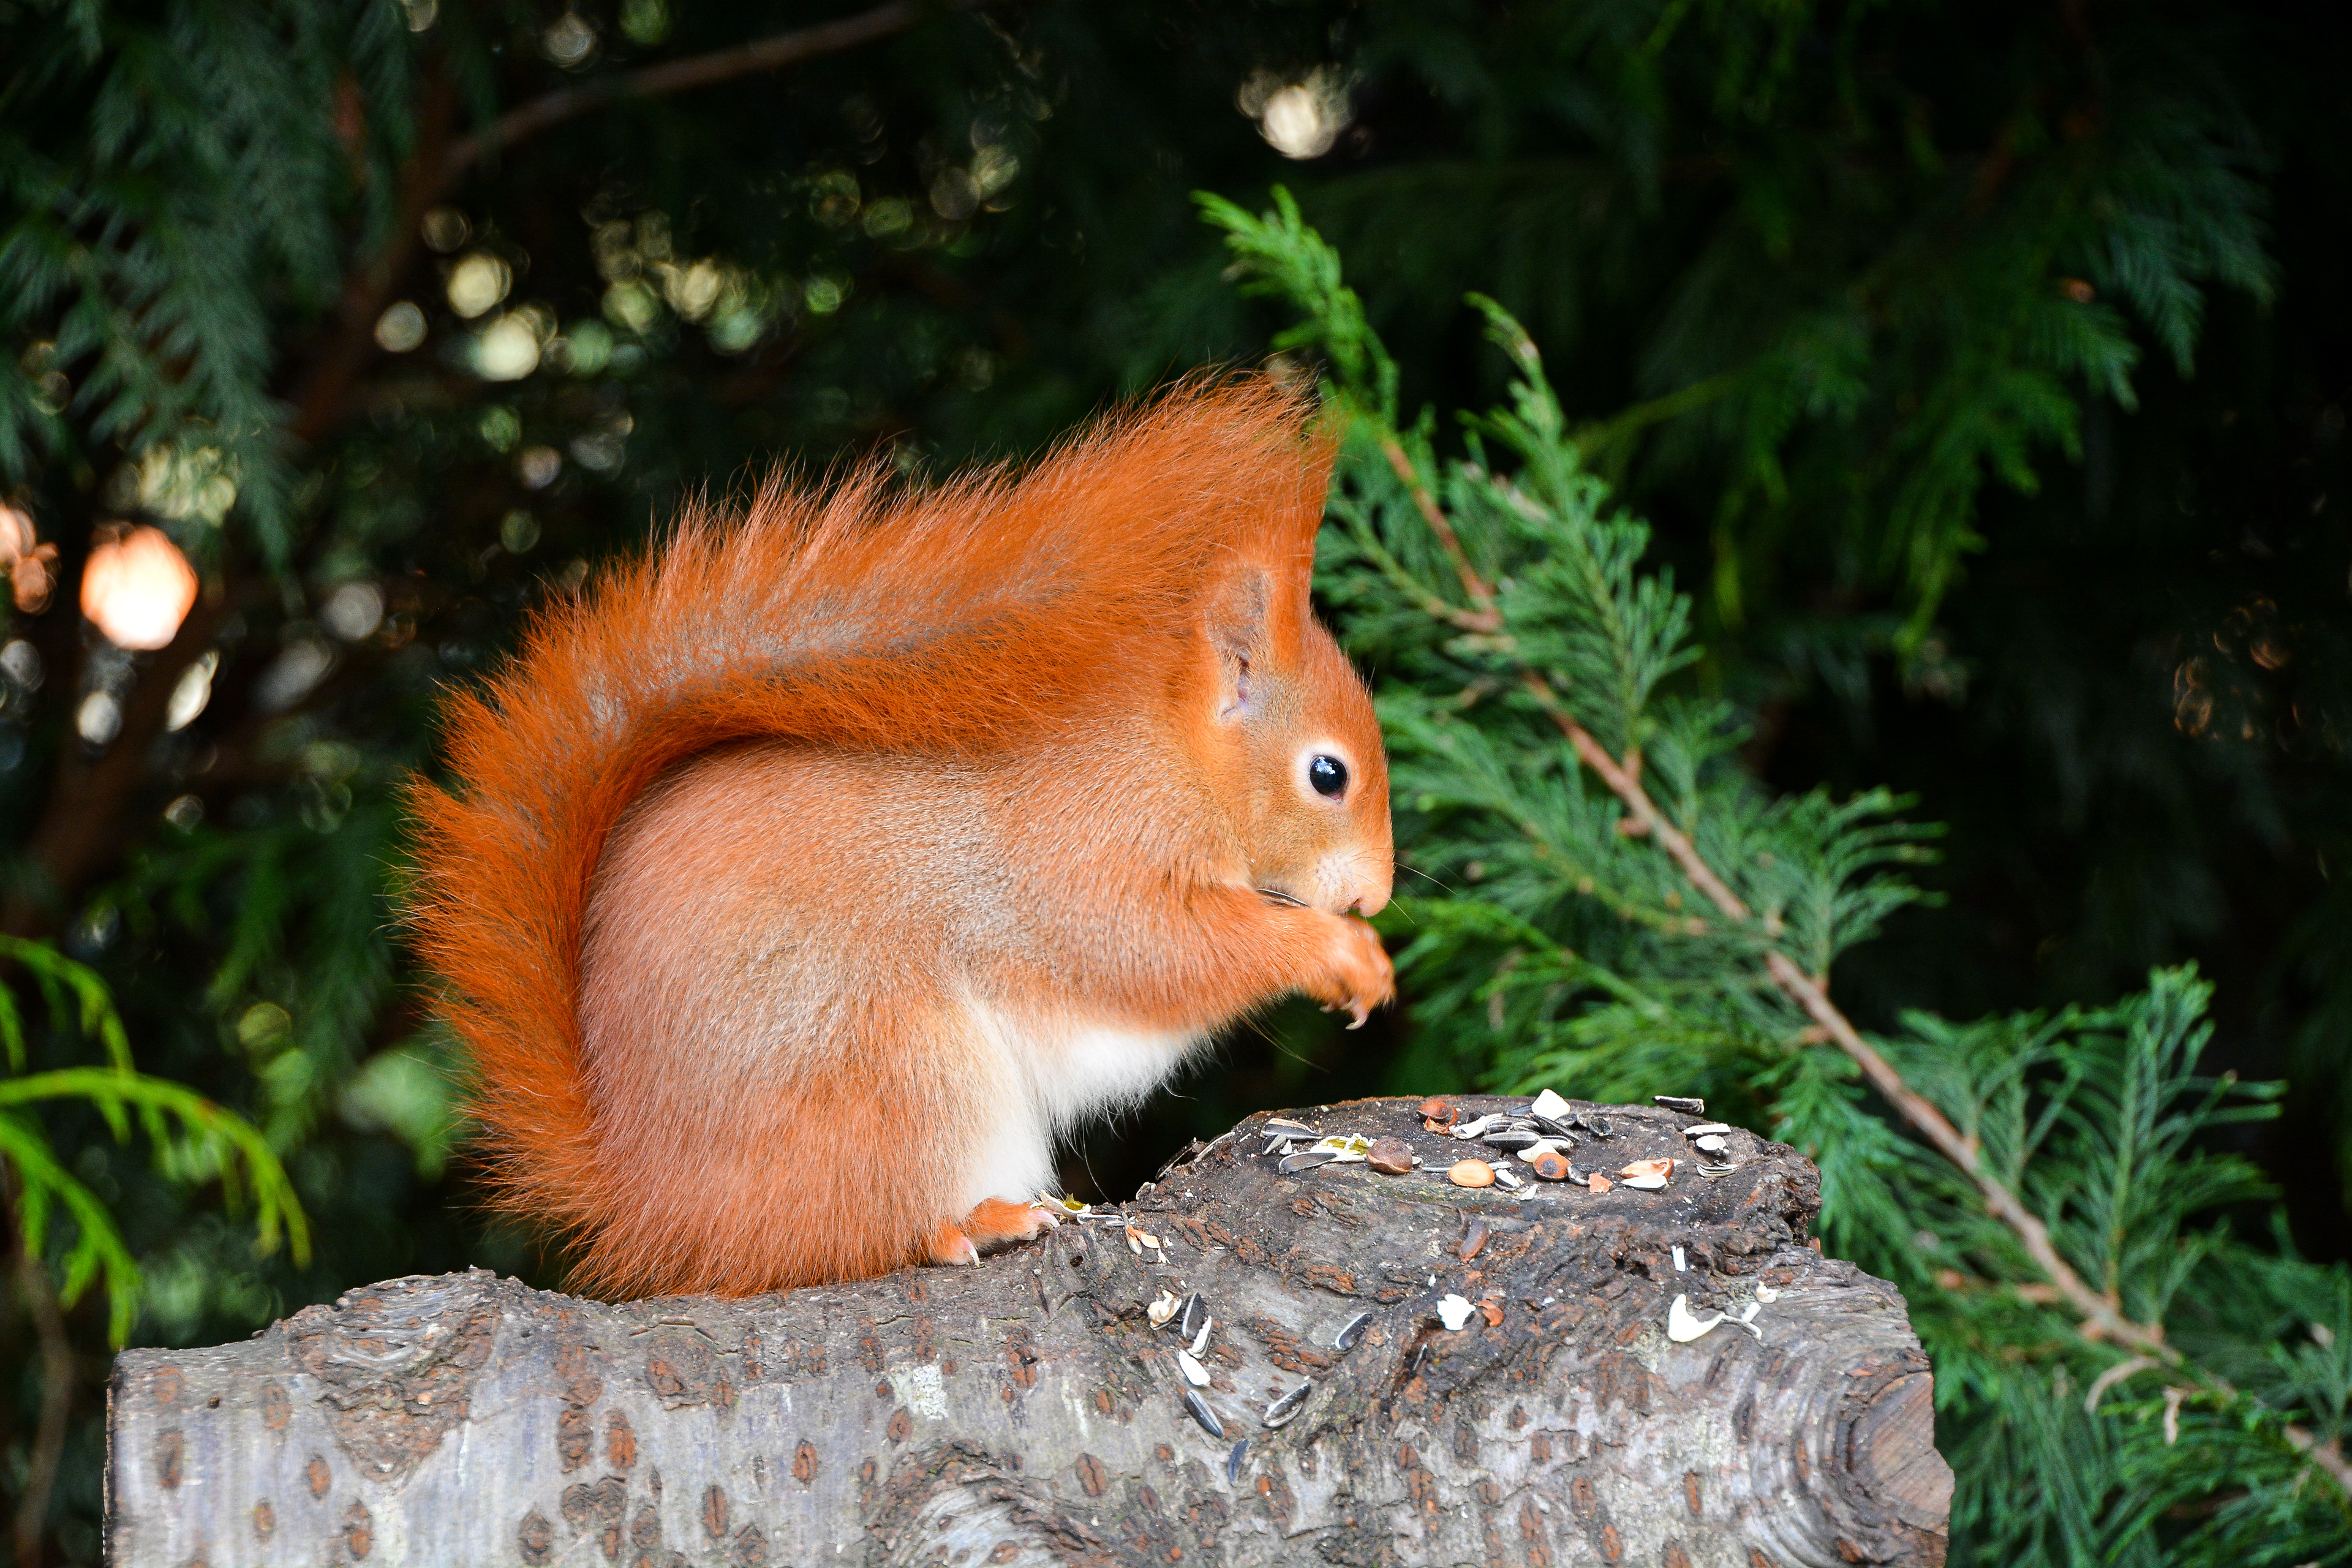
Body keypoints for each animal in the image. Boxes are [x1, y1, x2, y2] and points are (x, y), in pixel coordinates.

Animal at [408, 379, 1396, 1299]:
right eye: (1328, 774)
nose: (1377, 895)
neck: (1171, 759)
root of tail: (649, 1205)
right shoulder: (1078, 858)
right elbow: (1152, 952)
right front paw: (1338, 952)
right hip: (896, 1073)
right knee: (855, 1235)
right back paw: (979, 1222)